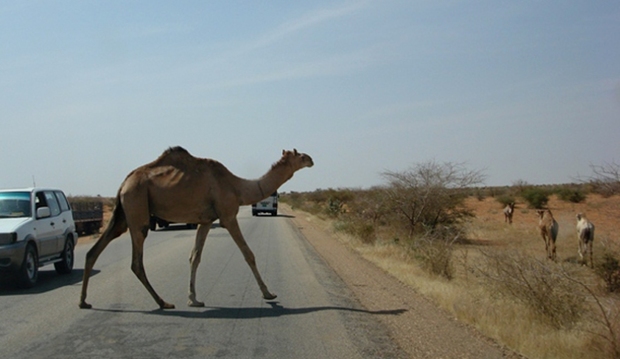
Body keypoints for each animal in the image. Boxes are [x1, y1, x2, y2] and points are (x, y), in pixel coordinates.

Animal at [79, 146, 314, 310]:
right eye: (299, 155)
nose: (311, 159)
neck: (237, 187)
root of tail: (124, 183)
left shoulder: (206, 221)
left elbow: (195, 257)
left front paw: (194, 299)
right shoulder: (228, 216)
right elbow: (248, 254)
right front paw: (269, 294)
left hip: (122, 213)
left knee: (94, 251)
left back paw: (84, 302)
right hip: (137, 207)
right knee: (136, 262)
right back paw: (163, 303)